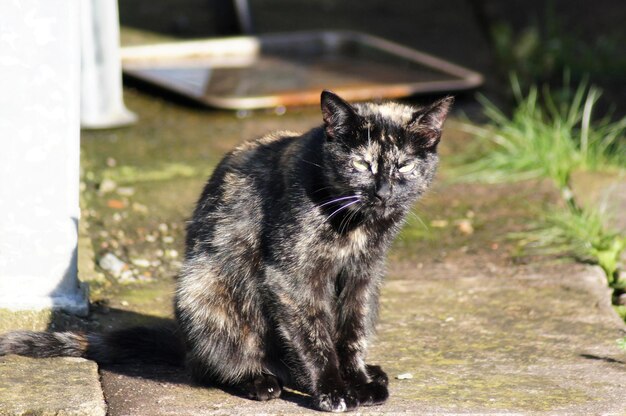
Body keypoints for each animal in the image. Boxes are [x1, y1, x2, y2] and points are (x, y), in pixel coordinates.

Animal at [0, 91, 450, 412]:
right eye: (362, 164)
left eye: (404, 166)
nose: (383, 192)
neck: (356, 227)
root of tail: (182, 343)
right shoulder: (292, 277)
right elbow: (315, 336)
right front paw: (333, 389)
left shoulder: (362, 279)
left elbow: (351, 333)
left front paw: (357, 380)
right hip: (204, 284)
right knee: (213, 365)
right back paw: (258, 380)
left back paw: (366, 374)